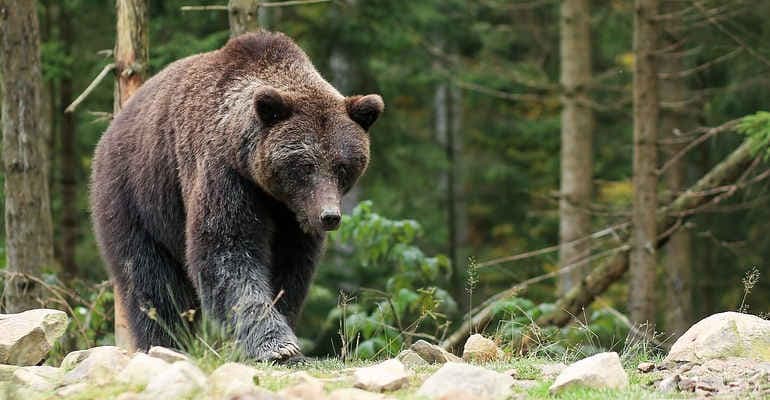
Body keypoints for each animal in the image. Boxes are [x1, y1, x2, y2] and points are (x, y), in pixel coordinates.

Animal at [90, 31, 384, 361]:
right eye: (306, 165)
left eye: (342, 166)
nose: (329, 216)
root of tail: (113, 126)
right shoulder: (224, 174)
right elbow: (227, 249)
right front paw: (277, 345)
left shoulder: (292, 216)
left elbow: (290, 268)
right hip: (136, 195)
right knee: (150, 279)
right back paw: (164, 342)